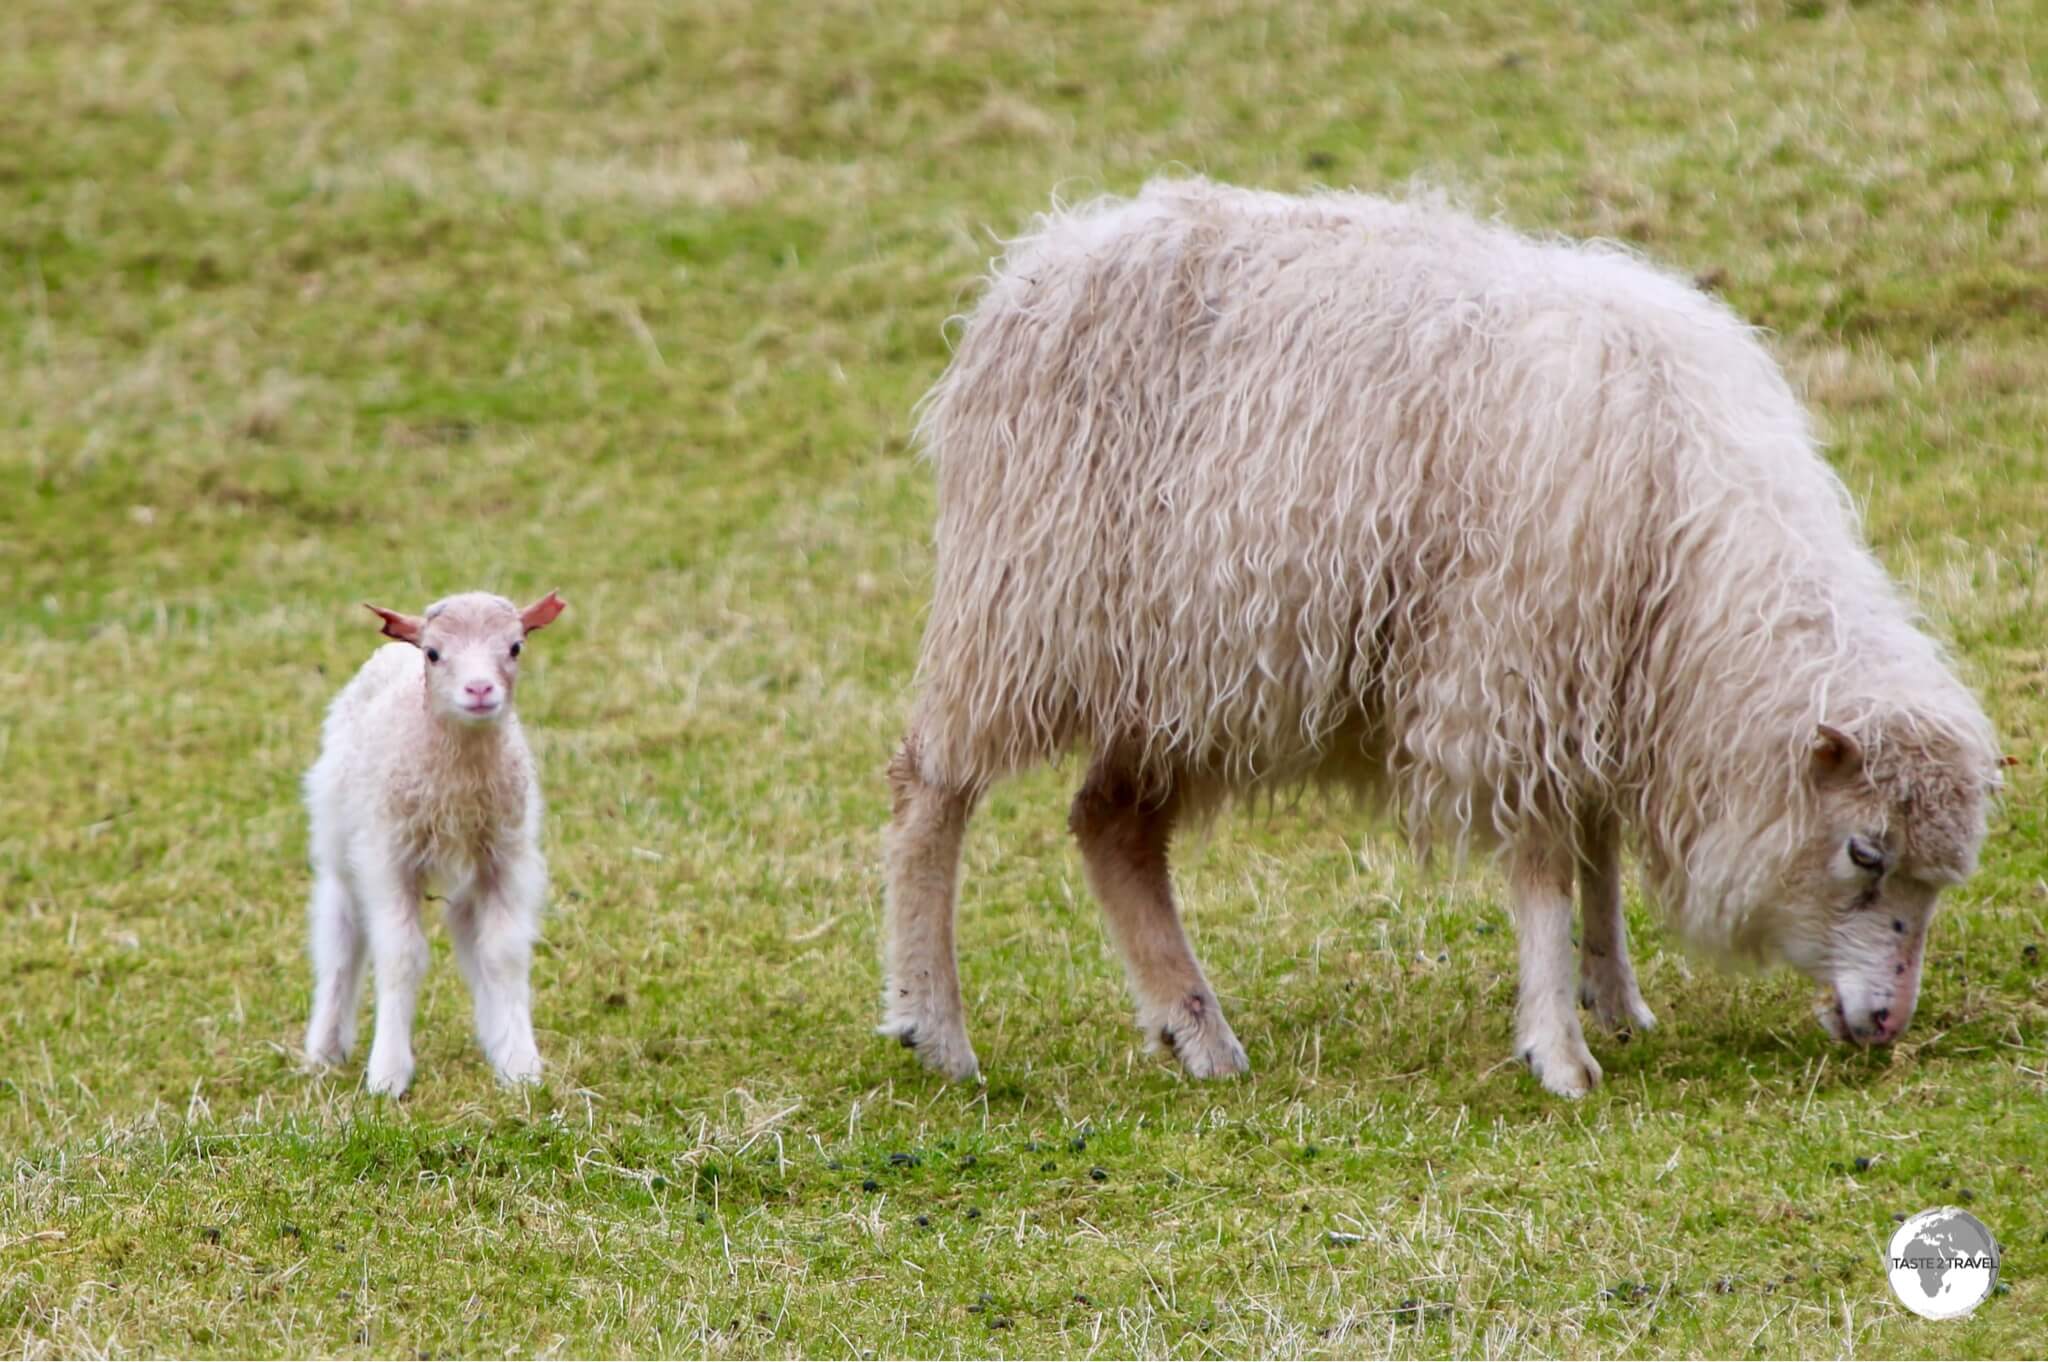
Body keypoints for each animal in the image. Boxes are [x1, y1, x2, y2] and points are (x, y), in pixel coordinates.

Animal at [299, 589, 565, 1097]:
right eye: (434, 654)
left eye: (515, 647)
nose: (479, 689)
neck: (457, 780)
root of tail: (390, 654)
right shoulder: (388, 857)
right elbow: (401, 956)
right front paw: (387, 1075)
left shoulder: (507, 858)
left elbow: (503, 955)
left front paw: (520, 1064)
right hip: (340, 841)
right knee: (342, 940)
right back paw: (324, 1050)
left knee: (471, 938)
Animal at [884, 178, 1998, 1097]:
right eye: (1864, 851)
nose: (1885, 1023)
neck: (1692, 551)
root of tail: (1046, 253)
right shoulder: (1514, 665)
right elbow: (1545, 868)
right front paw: (1558, 1050)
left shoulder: (1594, 683)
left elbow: (1596, 847)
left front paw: (1614, 993)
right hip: (1026, 607)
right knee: (930, 789)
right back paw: (935, 1029)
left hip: (1185, 669)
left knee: (1109, 824)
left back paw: (1195, 1031)